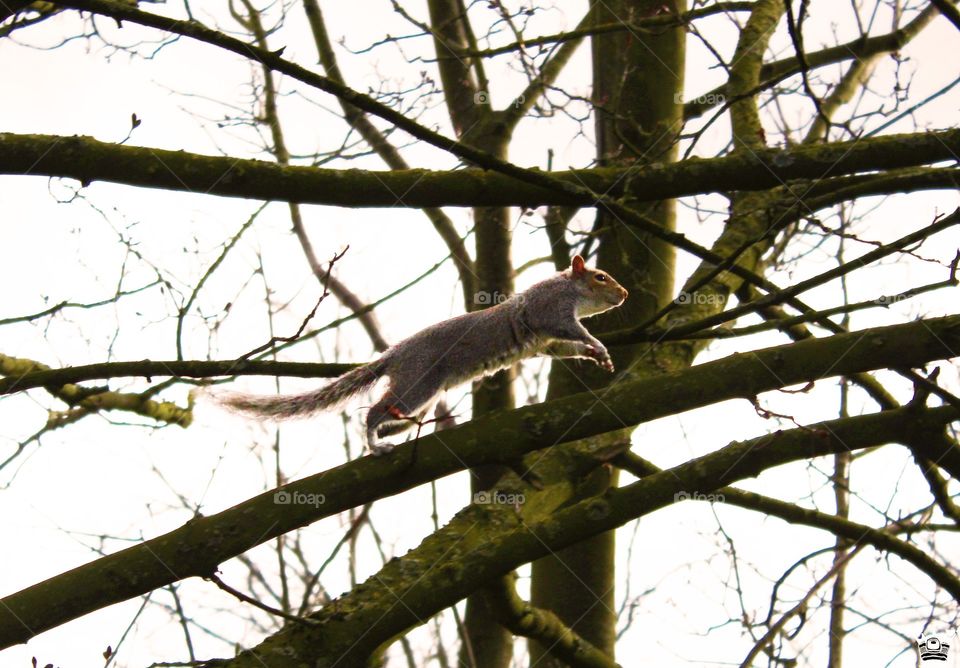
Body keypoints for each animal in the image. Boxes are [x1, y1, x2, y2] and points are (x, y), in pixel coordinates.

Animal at [218, 254, 628, 455]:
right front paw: (599, 345)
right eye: (601, 277)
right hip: (417, 383)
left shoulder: (546, 340)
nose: (624, 294)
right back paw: (375, 443)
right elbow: (572, 331)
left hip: (421, 397)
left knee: (390, 416)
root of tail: (394, 355)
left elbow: (566, 347)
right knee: (373, 412)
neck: (568, 288)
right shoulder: (550, 310)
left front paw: (597, 356)